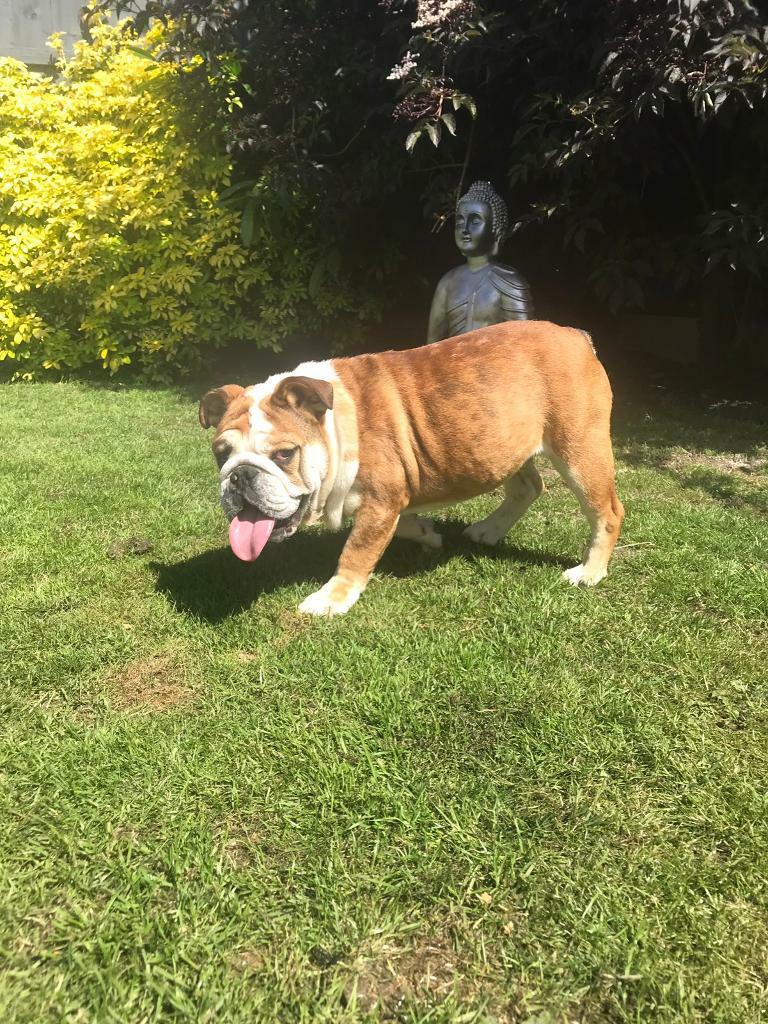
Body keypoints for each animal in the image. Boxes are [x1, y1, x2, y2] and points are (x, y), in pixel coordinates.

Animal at [199, 320, 624, 616]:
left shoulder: (382, 500)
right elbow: (399, 526)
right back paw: (488, 530)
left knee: (607, 512)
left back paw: (589, 572)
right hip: (506, 445)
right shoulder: (391, 499)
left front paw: (332, 598)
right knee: (528, 487)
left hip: (580, 450)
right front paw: (426, 533)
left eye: (284, 455)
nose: (239, 475)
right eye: (222, 454)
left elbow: (356, 551)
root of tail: (576, 336)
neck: (337, 426)